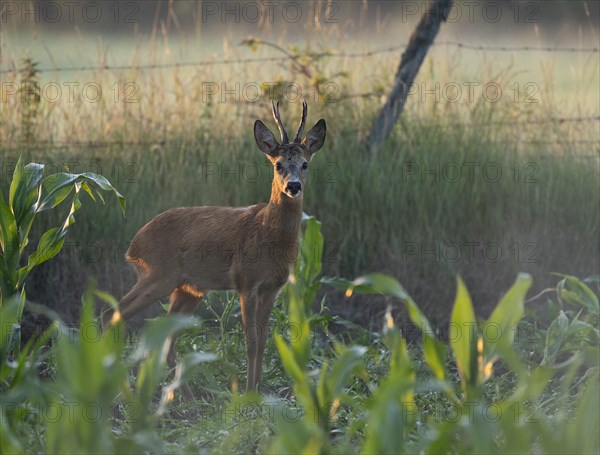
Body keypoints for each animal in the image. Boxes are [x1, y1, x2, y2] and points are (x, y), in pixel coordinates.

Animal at [105, 102, 326, 392]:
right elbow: (250, 342)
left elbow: (263, 341)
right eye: (278, 165)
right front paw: (247, 393)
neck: (268, 233)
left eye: (305, 164)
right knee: (112, 313)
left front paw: (258, 390)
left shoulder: (272, 288)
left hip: (189, 289)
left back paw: (180, 392)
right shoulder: (246, 282)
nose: (293, 186)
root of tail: (134, 244)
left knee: (165, 335)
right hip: (158, 276)